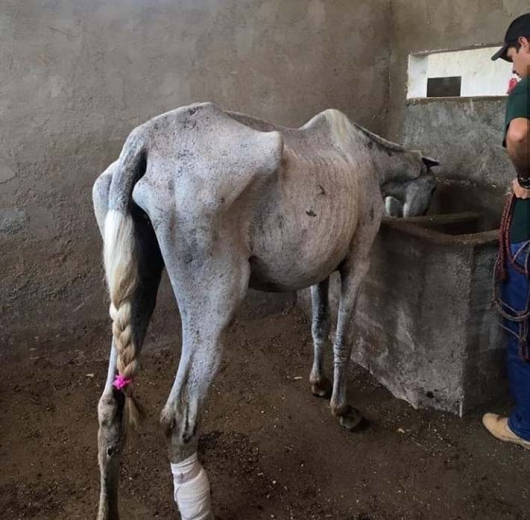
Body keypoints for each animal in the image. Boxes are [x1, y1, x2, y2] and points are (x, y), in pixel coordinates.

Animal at [92, 102, 438, 520]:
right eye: (434, 186)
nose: (417, 214)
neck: (366, 156)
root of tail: (141, 143)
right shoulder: (356, 263)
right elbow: (344, 336)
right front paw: (342, 408)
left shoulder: (319, 271)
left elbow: (319, 325)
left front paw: (318, 383)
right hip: (213, 309)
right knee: (180, 418)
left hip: (133, 295)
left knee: (111, 408)